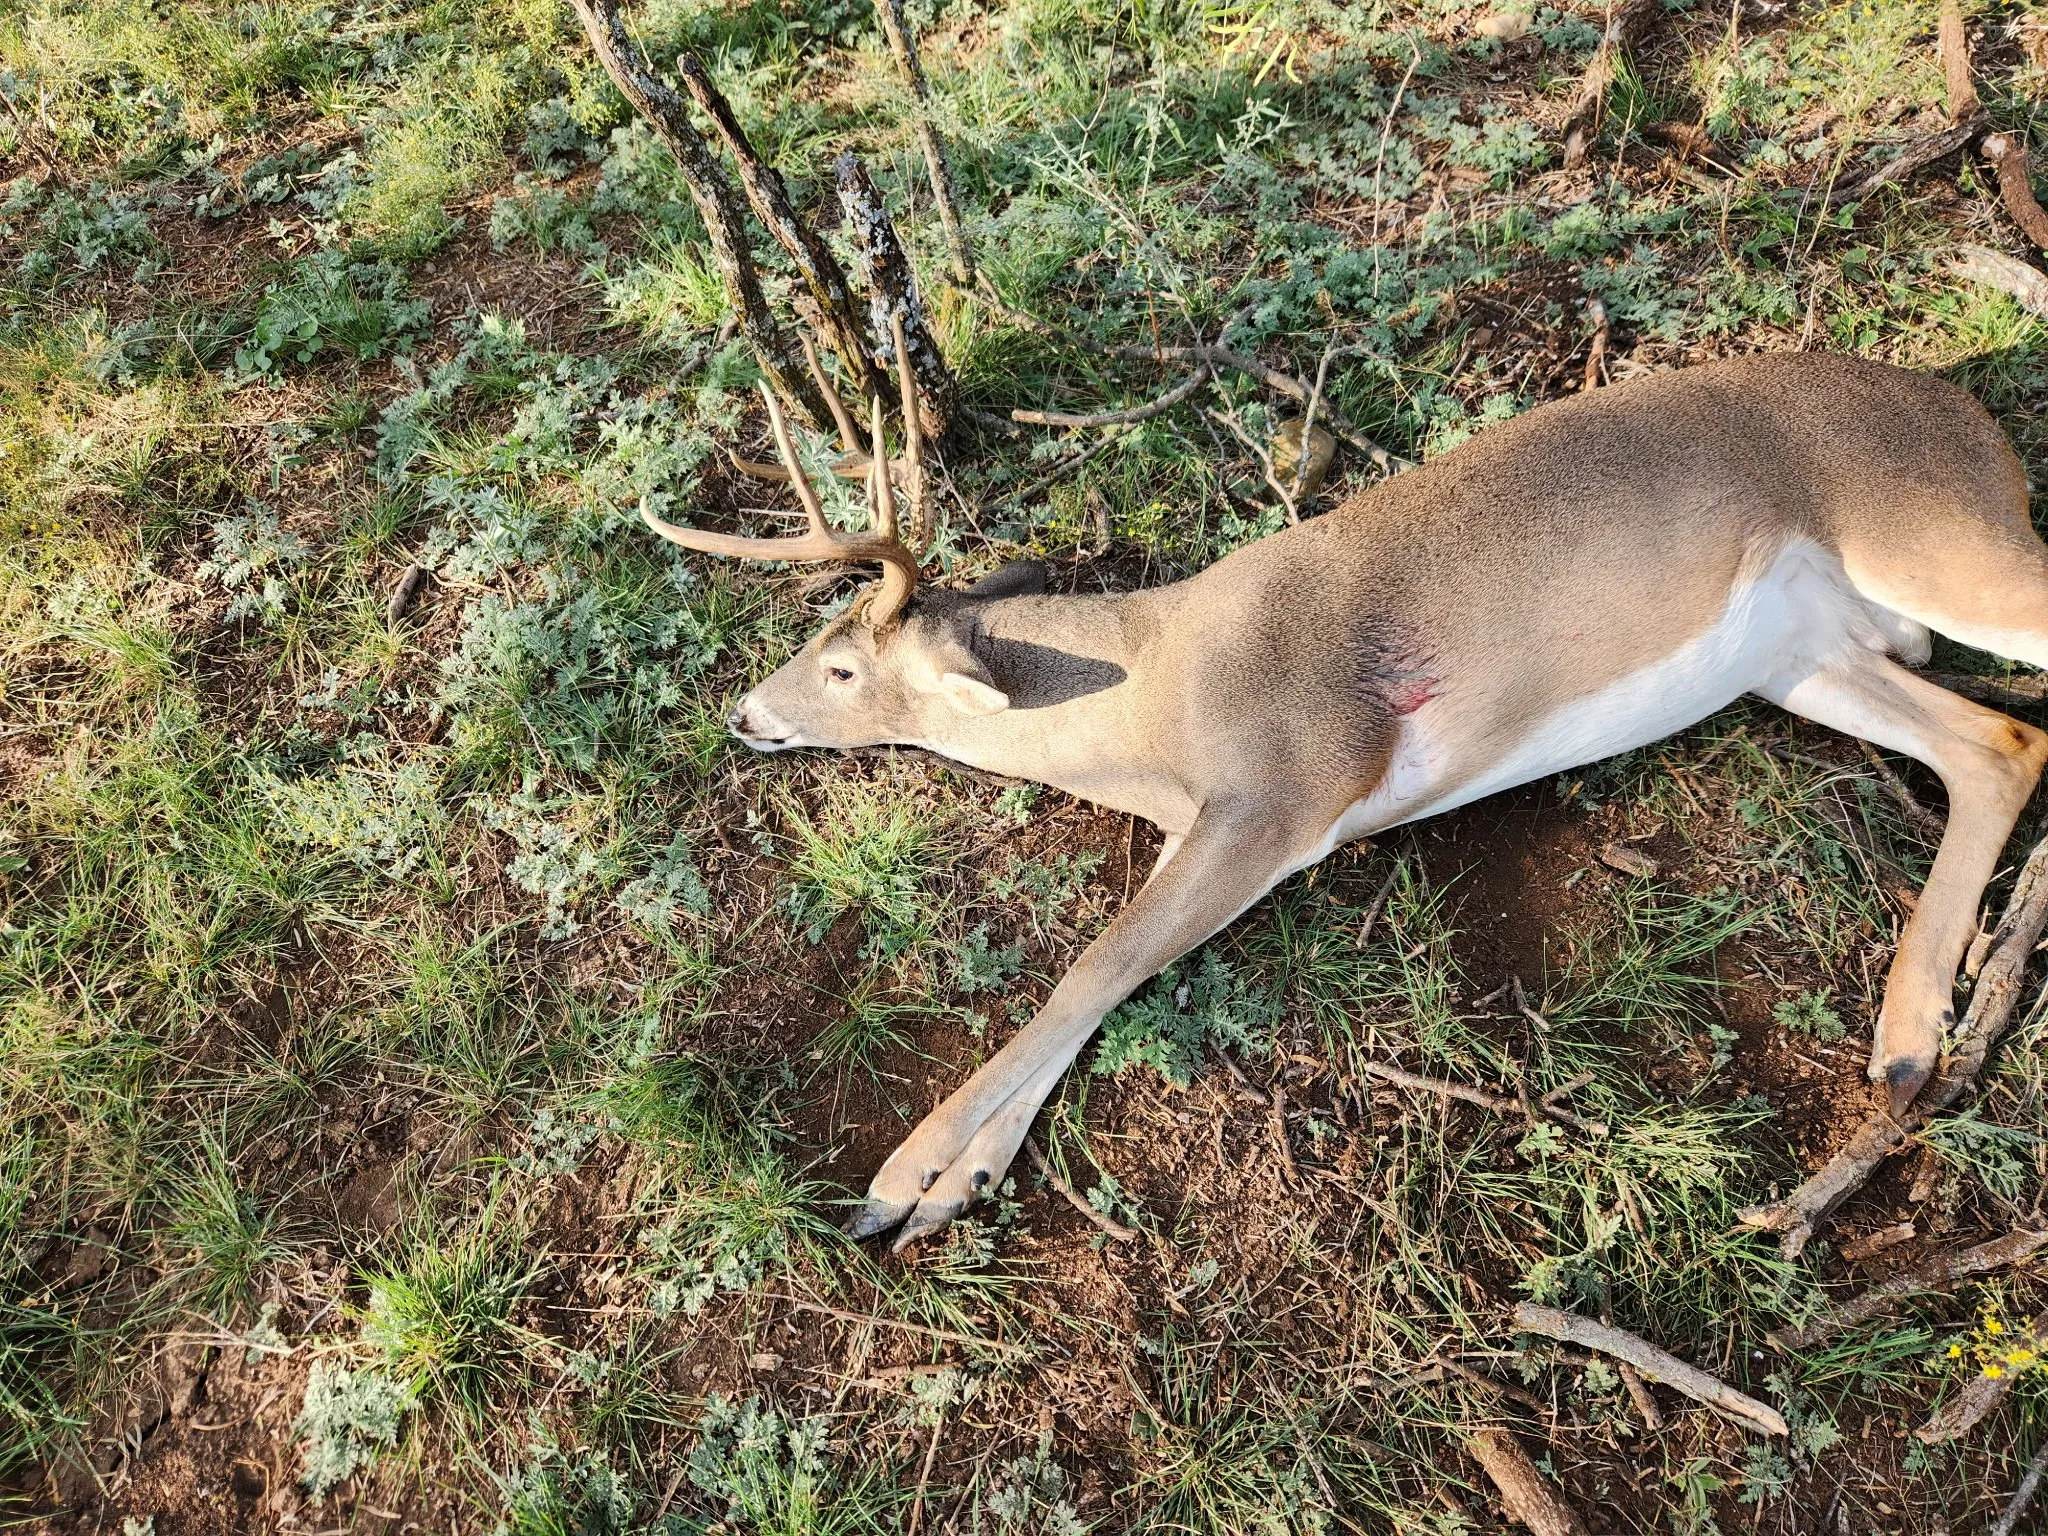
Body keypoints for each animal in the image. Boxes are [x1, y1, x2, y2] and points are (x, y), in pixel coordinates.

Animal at [641, 340, 2048, 1249]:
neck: (1149, 703)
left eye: (838, 664)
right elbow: (1108, 969)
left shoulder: (1290, 783)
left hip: (1937, 543)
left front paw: (907, 1176)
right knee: (1993, 744)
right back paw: (1908, 1035)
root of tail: (1965, 413)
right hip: (1794, 653)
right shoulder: (1205, 825)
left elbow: (1096, 965)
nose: (745, 713)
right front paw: (954, 1176)